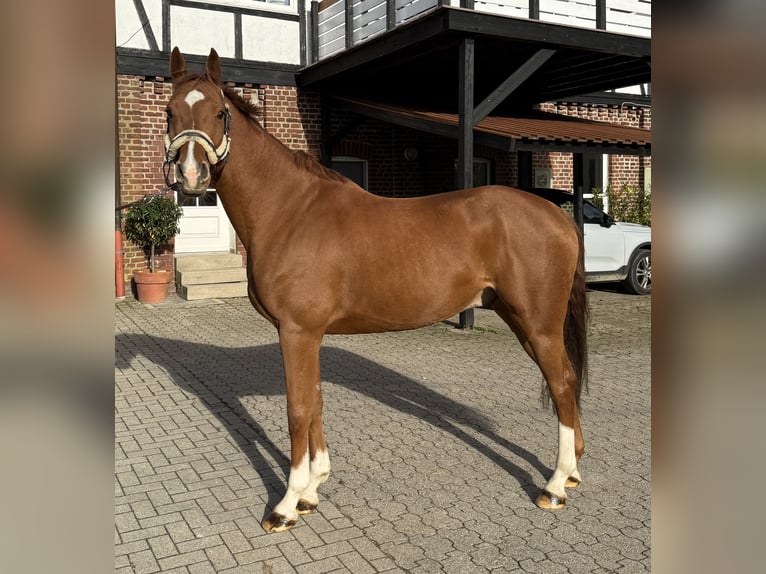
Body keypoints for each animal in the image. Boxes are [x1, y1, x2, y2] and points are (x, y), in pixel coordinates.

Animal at [163, 48, 589, 533]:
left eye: (219, 112)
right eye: (169, 111)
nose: (191, 176)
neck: (289, 210)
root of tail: (558, 216)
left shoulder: (296, 331)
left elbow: (298, 410)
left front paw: (286, 505)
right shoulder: (308, 335)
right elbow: (315, 401)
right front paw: (312, 491)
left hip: (539, 324)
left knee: (562, 384)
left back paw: (554, 486)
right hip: (521, 320)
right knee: (566, 383)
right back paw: (570, 473)